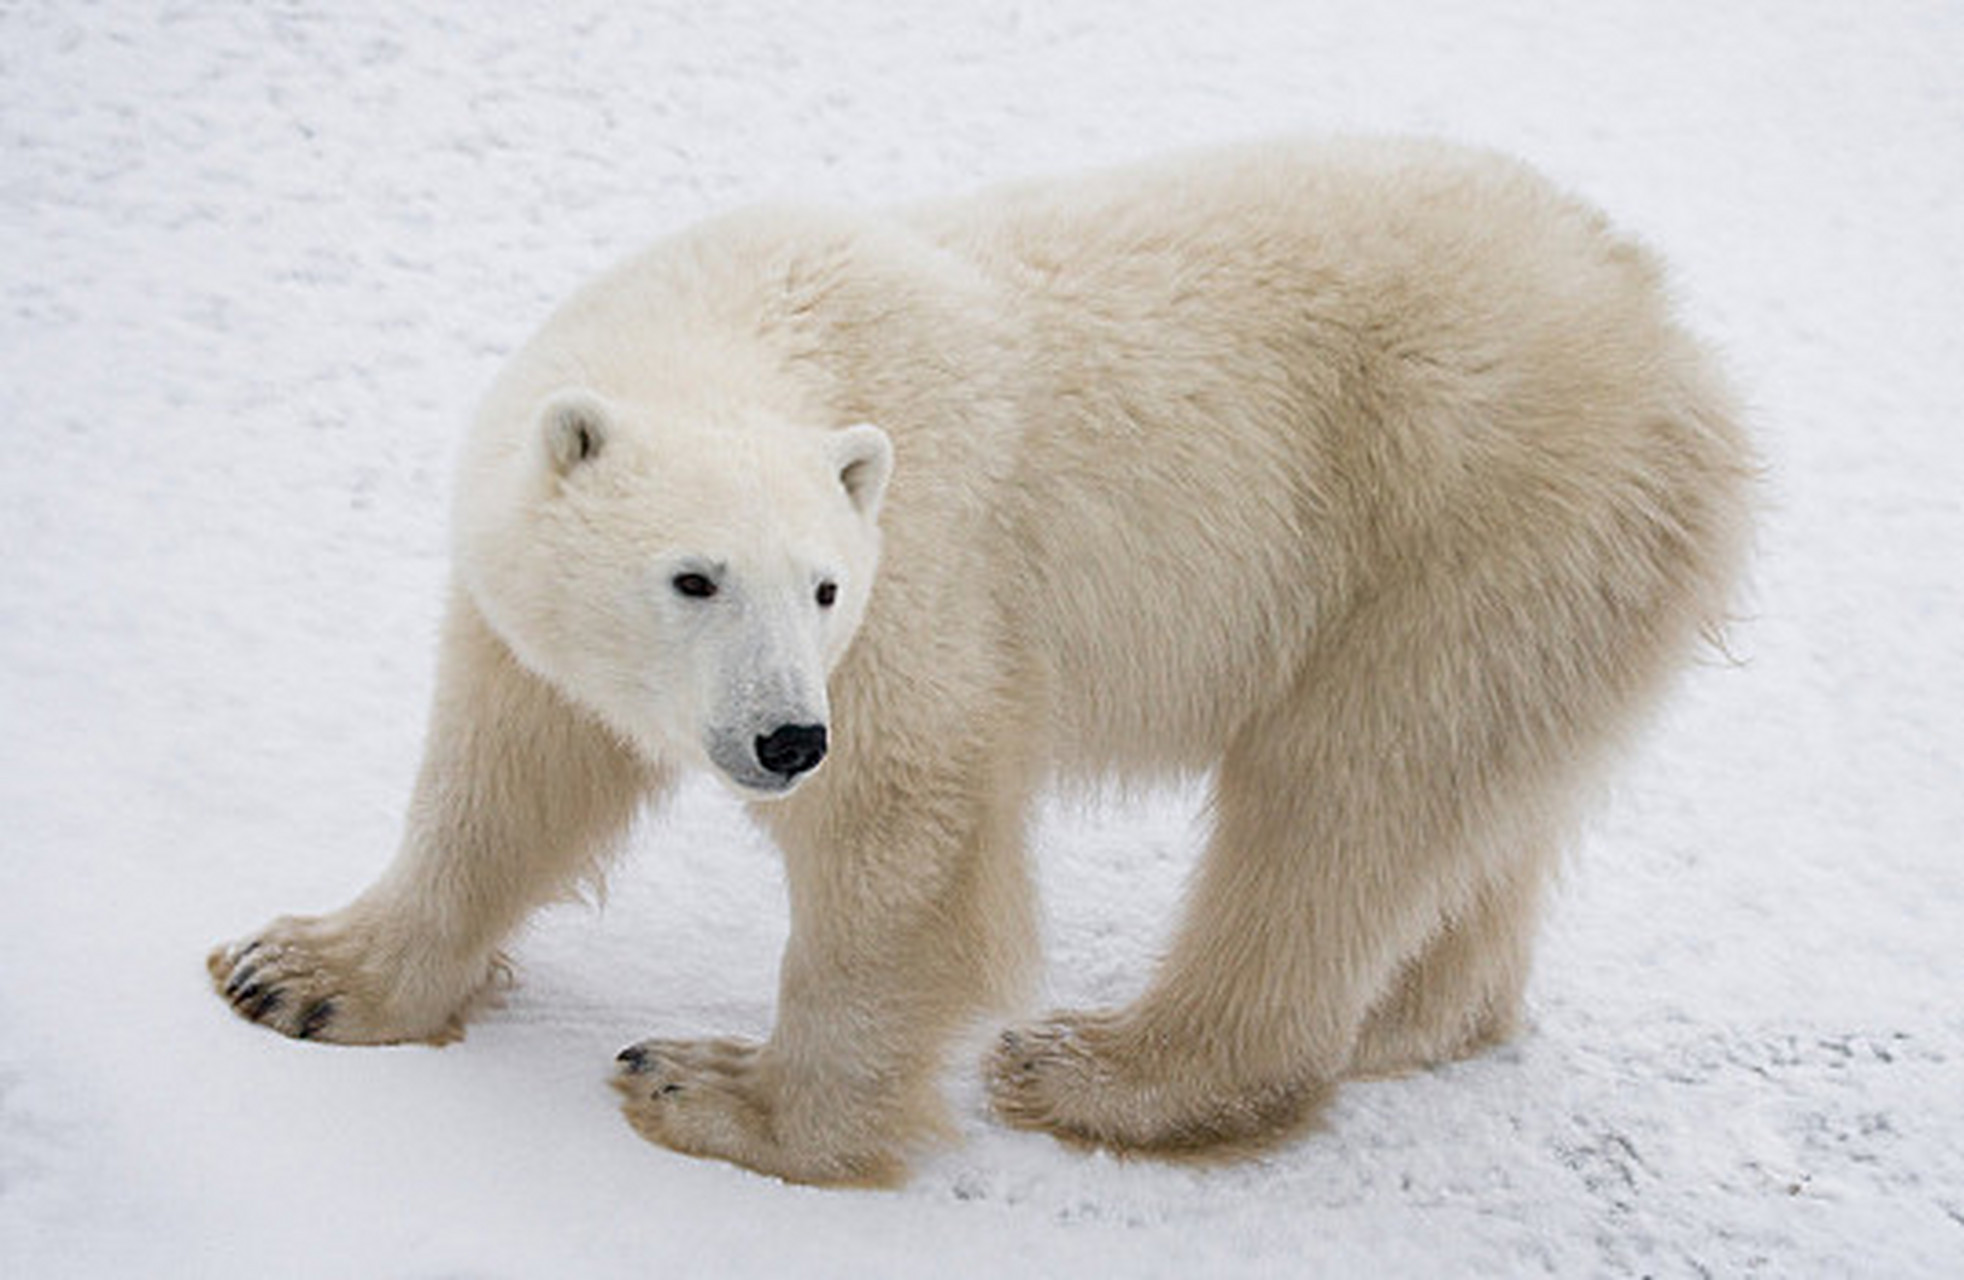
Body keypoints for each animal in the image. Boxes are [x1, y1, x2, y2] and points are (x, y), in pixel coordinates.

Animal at [211, 137, 1751, 1177]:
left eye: (826, 587)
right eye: (692, 578)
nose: (784, 739)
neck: (746, 314)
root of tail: (1673, 339)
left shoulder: (927, 569)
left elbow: (907, 825)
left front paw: (719, 1091)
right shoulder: (534, 595)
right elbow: (511, 767)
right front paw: (299, 972)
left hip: (1463, 519)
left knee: (1339, 803)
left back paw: (1100, 1068)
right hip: (1543, 579)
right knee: (1460, 805)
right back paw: (1413, 1016)